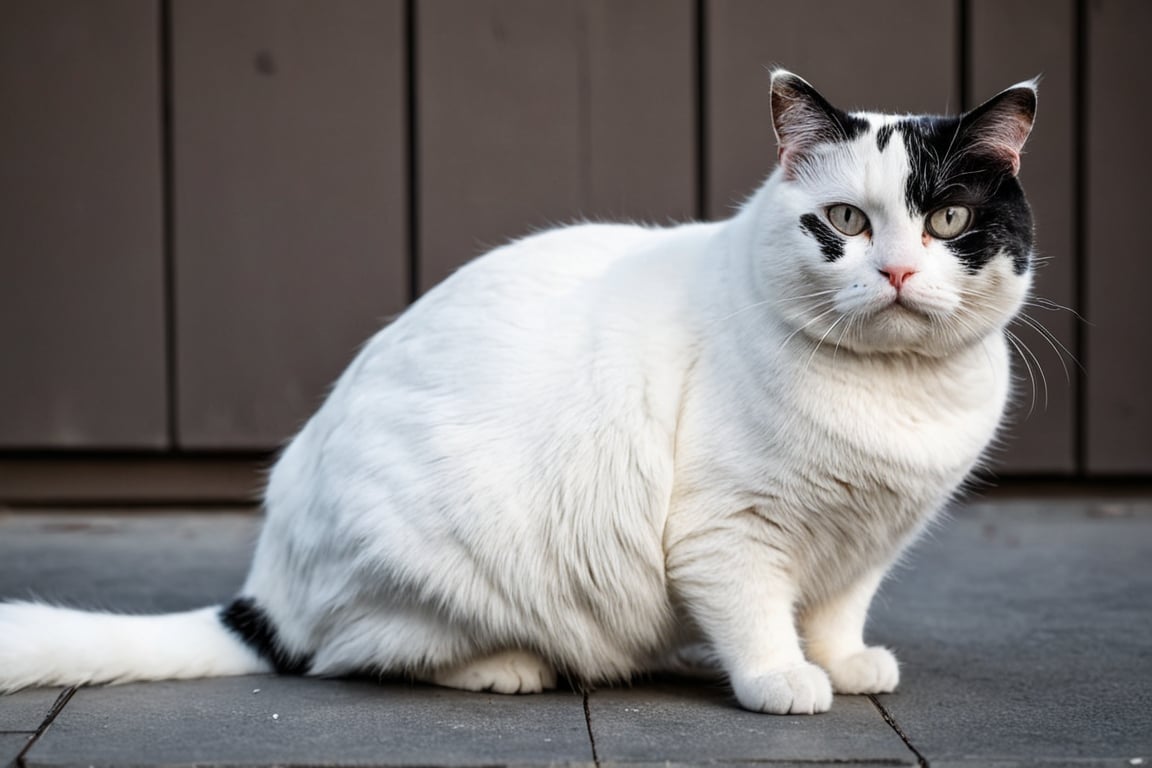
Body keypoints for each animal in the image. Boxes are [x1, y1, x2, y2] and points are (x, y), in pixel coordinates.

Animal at [0, 71, 1041, 713]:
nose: (898, 272)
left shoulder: (868, 542)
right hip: (444, 555)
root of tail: (268, 586)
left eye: (950, 222)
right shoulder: (728, 533)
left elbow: (835, 610)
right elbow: (757, 616)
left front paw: (843, 663)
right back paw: (512, 667)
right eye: (846, 222)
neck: (893, 401)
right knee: (365, 653)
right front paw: (783, 680)